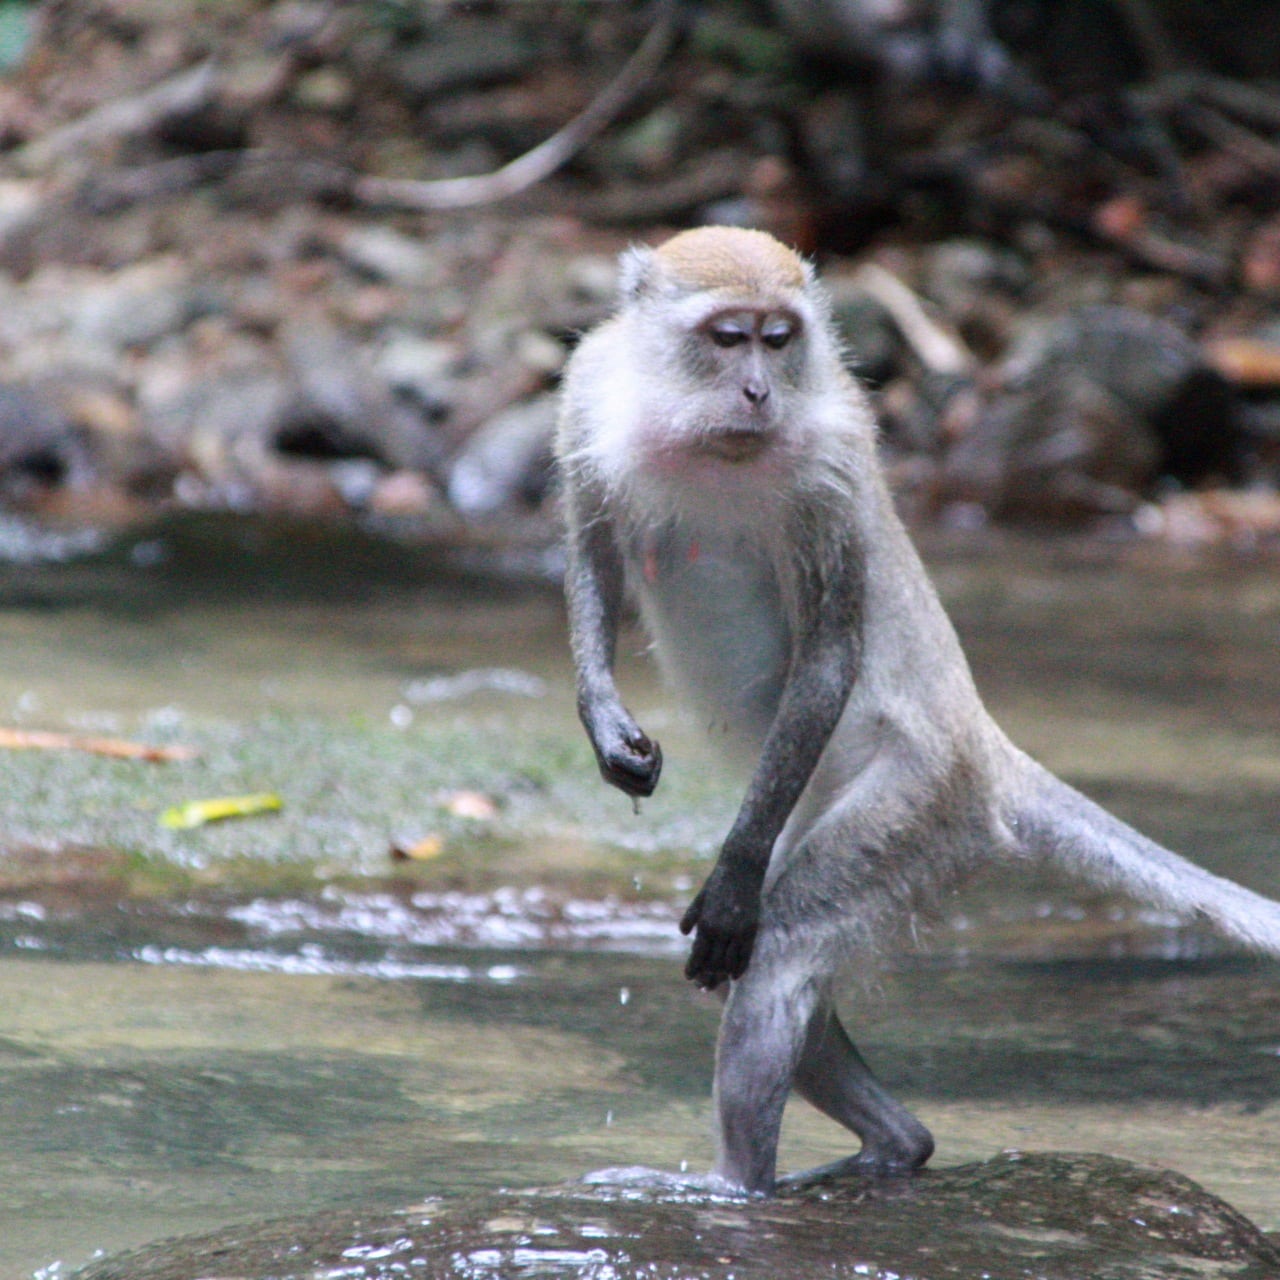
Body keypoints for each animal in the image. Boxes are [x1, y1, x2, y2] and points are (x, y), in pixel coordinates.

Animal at [555, 225, 1280, 1192]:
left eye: (778, 340)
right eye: (727, 336)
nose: (757, 391)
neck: (700, 431)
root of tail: (985, 746)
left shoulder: (827, 464)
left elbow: (831, 652)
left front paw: (734, 879)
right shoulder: (586, 390)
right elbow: (594, 550)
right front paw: (607, 726)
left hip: (917, 801)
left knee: (780, 944)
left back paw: (741, 1188)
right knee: (790, 971)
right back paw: (895, 1147)